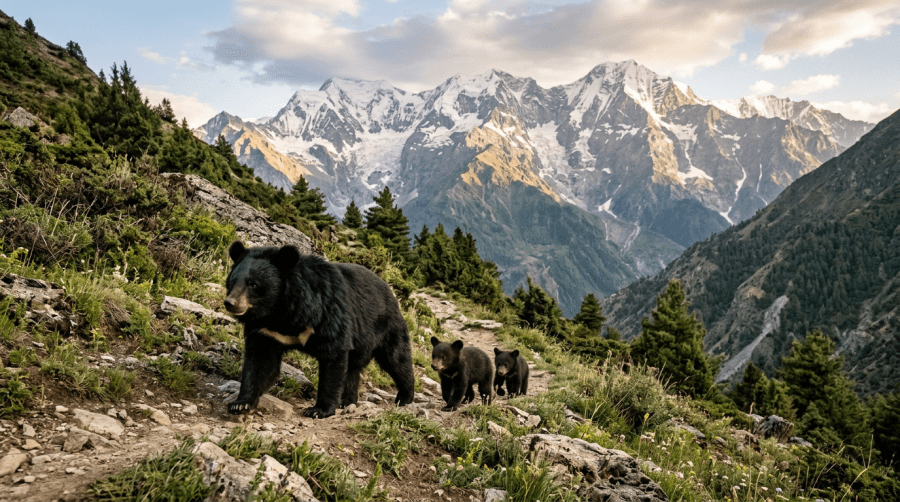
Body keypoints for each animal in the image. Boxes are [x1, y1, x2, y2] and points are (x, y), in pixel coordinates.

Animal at [223, 241, 416, 419]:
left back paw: (404, 398)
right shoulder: (267, 332)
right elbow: (260, 362)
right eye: (233, 281)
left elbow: (333, 357)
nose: (230, 303)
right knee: (353, 369)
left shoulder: (327, 314)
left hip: (386, 327)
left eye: (253, 284)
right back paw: (347, 401)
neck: (280, 313)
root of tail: (390, 291)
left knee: (396, 359)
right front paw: (240, 404)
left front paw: (318, 410)